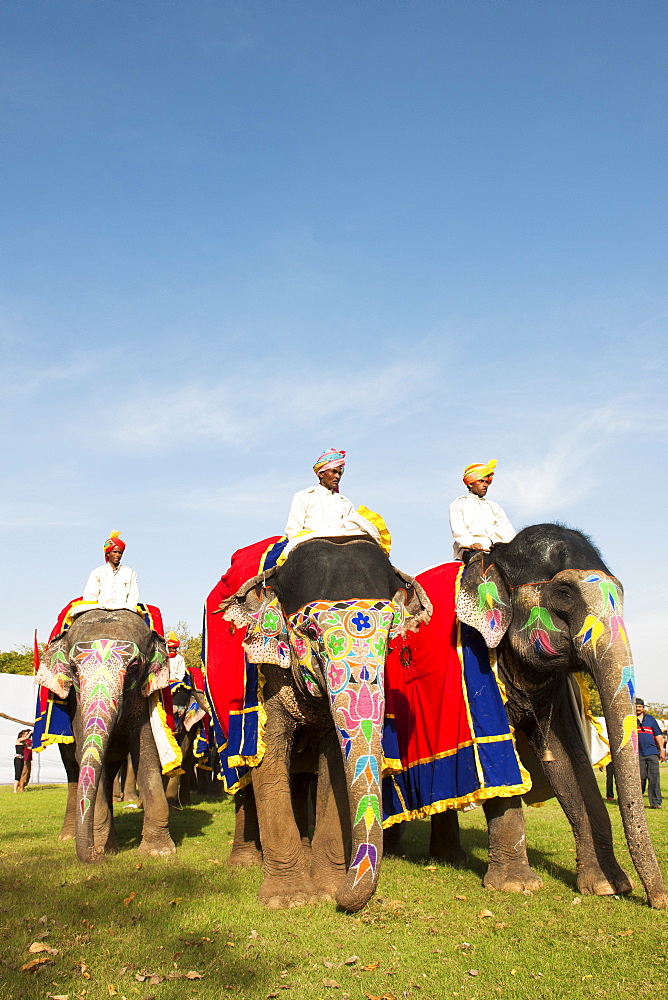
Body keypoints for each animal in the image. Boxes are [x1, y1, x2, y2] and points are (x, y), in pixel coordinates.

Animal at [36, 604, 177, 864]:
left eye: (133, 667)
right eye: (73, 669)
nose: (95, 857)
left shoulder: (142, 697)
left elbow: (147, 751)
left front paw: (159, 852)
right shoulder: (76, 703)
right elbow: (85, 752)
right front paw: (102, 849)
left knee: (108, 771)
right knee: (73, 771)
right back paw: (71, 837)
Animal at [412, 524, 668, 908]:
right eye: (564, 593)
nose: (658, 901)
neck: (495, 556)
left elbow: (567, 762)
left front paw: (608, 886)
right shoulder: (478, 663)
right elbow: (501, 758)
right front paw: (517, 887)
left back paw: (447, 858)